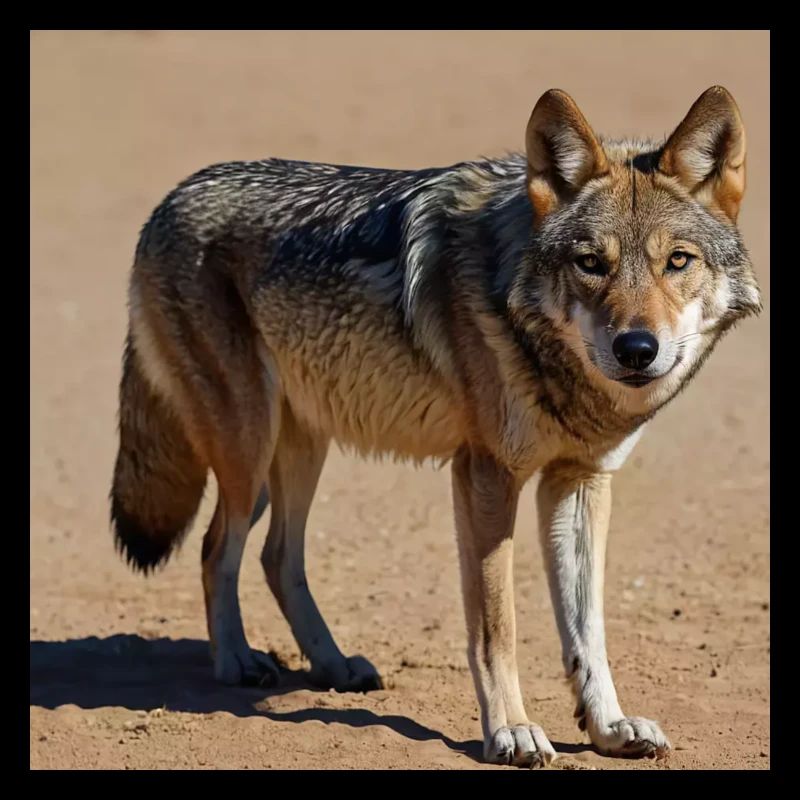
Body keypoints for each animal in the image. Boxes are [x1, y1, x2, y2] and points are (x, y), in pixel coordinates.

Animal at [110, 86, 761, 767]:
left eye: (677, 261)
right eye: (591, 263)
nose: (636, 349)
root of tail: (170, 200)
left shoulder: (579, 481)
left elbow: (588, 628)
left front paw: (607, 728)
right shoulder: (485, 476)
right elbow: (496, 628)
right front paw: (511, 731)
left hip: (297, 453)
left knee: (276, 556)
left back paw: (333, 665)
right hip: (248, 452)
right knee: (217, 548)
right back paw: (237, 661)